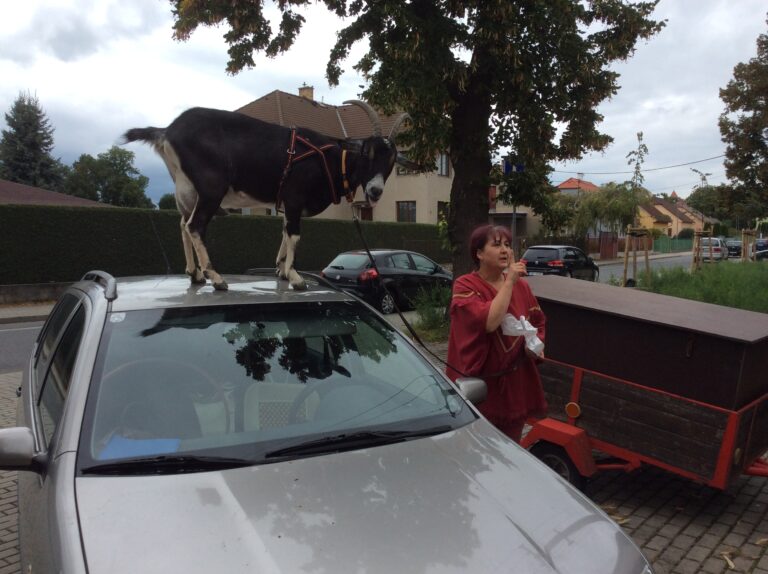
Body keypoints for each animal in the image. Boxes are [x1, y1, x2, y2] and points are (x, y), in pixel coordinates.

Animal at [123, 101, 409, 290]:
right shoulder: (294, 197)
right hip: (211, 188)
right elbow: (294, 234)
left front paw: (281, 270)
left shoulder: (286, 204)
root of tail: (167, 131)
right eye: (367, 153)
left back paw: (195, 274)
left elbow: (284, 232)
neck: (326, 159)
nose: (374, 190)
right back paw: (215, 277)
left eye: (392, 160)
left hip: (188, 189)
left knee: (183, 223)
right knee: (195, 225)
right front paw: (295, 277)